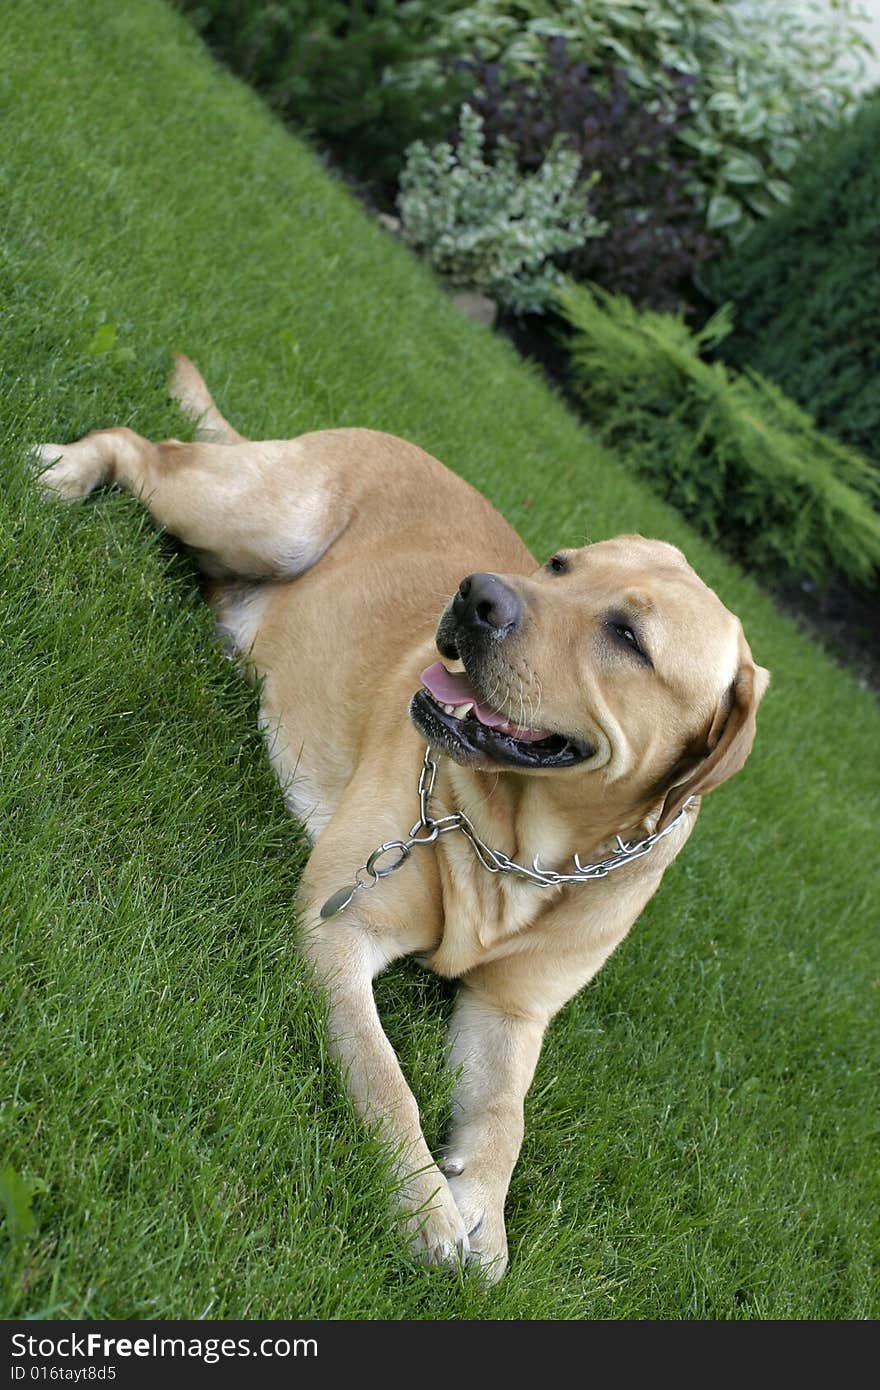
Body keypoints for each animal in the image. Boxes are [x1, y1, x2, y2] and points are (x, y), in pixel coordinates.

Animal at [39, 355, 767, 1278]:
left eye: (630, 638)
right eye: (559, 565)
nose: (478, 595)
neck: (522, 848)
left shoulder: (513, 1013)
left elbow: (504, 1117)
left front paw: (483, 1209)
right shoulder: (339, 929)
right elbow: (385, 1078)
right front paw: (422, 1201)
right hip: (258, 515)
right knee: (144, 447)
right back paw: (67, 471)